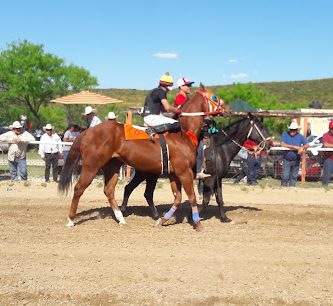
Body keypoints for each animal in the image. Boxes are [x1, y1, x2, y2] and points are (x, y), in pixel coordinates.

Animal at [58, 82, 222, 231]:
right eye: (214, 97)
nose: (225, 108)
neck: (184, 133)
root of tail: (87, 132)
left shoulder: (175, 174)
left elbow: (177, 198)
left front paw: (162, 220)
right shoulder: (184, 172)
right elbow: (191, 197)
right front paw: (198, 223)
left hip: (113, 166)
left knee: (109, 190)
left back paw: (121, 218)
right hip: (92, 166)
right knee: (79, 188)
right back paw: (71, 220)